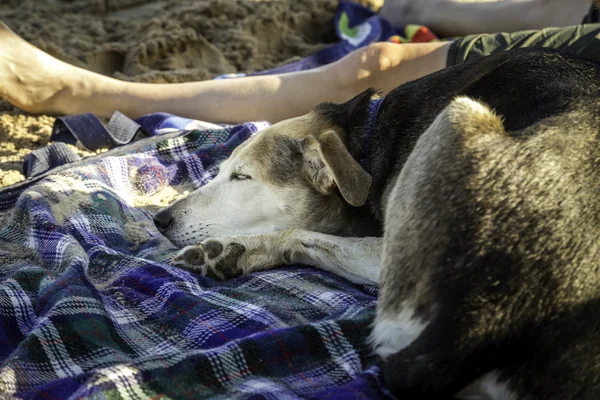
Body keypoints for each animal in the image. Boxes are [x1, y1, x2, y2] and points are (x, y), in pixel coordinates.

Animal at [152, 50, 600, 400]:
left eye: (242, 177)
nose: (159, 219)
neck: (362, 137)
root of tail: (484, 318)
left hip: (455, 119)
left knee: (302, 239)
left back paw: (236, 250)